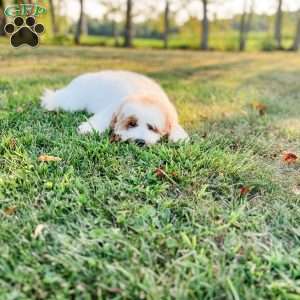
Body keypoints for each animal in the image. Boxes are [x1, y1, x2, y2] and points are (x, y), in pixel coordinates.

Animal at [41, 70, 189, 145]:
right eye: (131, 123)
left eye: (152, 128)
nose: (140, 141)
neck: (145, 94)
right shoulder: (113, 107)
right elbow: (101, 119)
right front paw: (88, 129)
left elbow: (176, 126)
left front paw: (178, 136)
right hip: (73, 100)